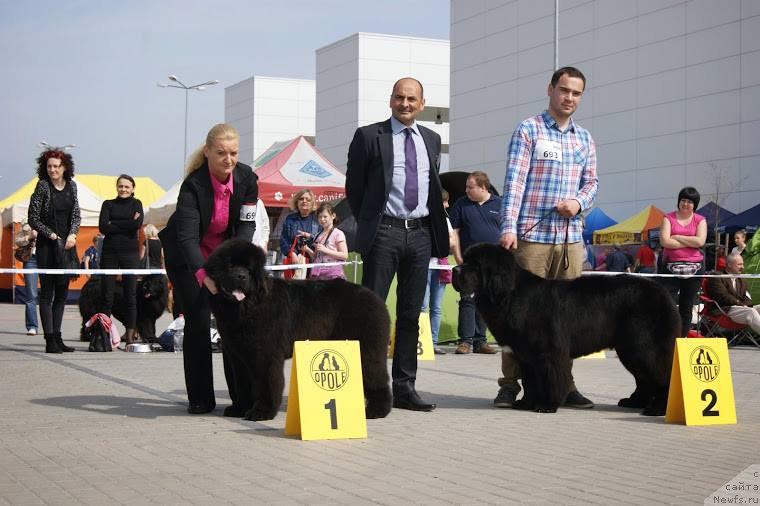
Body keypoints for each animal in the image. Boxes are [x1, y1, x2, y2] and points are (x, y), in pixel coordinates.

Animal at [202, 239, 392, 422]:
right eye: (230, 266)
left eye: (249, 269)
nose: (241, 276)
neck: (248, 306)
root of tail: (375, 298)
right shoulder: (238, 355)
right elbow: (241, 384)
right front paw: (240, 408)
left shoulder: (265, 356)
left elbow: (266, 384)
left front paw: (261, 412)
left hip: (366, 350)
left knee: (376, 376)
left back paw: (376, 411)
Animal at [454, 244, 680, 416]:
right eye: (465, 260)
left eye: (475, 265)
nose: (455, 270)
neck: (509, 294)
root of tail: (662, 291)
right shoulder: (526, 354)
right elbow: (530, 381)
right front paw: (526, 403)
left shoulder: (548, 353)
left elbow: (548, 379)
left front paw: (546, 405)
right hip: (629, 349)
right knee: (643, 378)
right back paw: (635, 402)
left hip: (645, 347)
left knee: (661, 374)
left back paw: (657, 409)